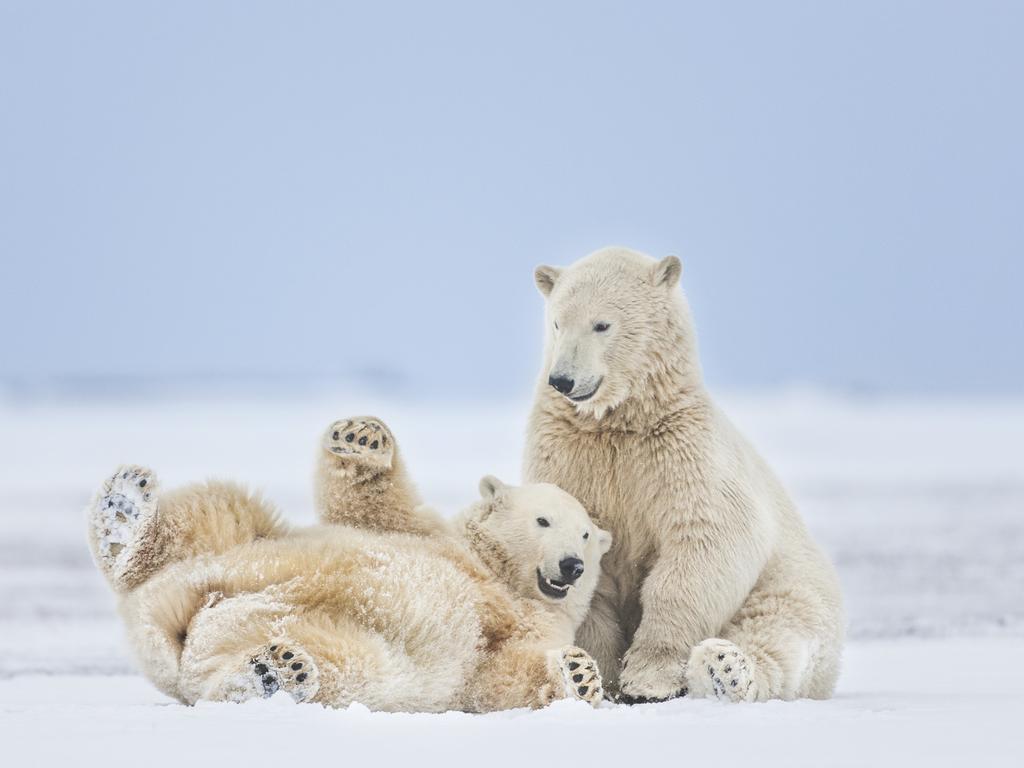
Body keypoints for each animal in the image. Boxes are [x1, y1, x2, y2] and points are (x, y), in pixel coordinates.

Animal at [86, 417, 606, 712]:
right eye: (543, 520)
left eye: (585, 534)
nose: (572, 565)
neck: (500, 576)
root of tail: (168, 628)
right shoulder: (433, 536)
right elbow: (373, 504)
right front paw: (363, 434)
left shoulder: (527, 627)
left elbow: (503, 678)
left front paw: (580, 675)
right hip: (233, 552)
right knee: (218, 509)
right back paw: (124, 512)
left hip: (336, 641)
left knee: (333, 668)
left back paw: (276, 671)